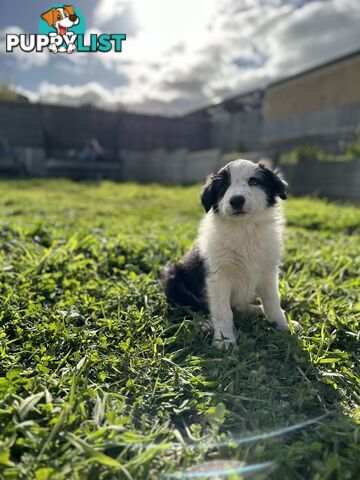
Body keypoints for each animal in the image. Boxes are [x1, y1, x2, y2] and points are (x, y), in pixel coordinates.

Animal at [162, 159, 298, 350]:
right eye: (223, 186)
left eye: (253, 181)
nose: (236, 200)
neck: (244, 229)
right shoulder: (218, 278)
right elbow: (223, 311)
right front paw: (224, 340)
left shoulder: (268, 272)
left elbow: (272, 302)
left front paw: (283, 325)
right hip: (173, 277)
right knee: (192, 308)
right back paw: (204, 323)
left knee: (239, 306)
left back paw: (257, 310)